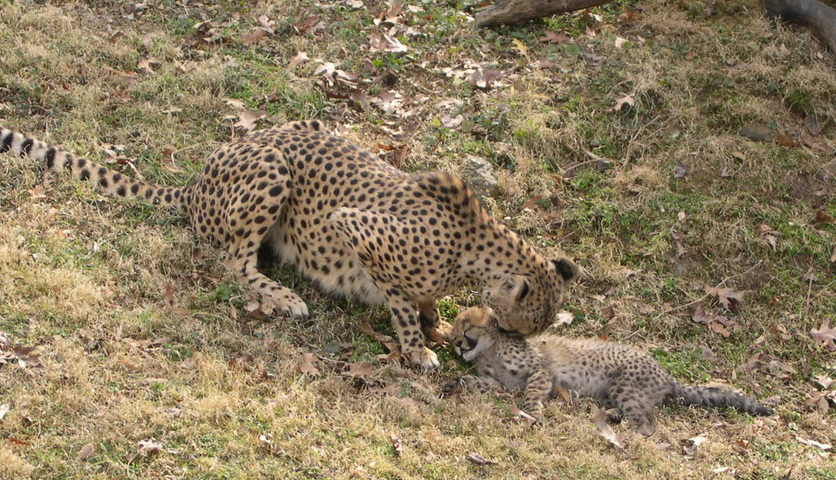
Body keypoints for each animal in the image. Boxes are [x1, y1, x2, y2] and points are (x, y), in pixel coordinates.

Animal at [0, 120, 580, 368]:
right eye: (515, 328)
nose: (510, 340)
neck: (476, 246)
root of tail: (195, 181)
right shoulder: (357, 228)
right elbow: (398, 299)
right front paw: (418, 346)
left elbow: (423, 301)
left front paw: (435, 321)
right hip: (272, 167)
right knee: (232, 262)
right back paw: (284, 297)